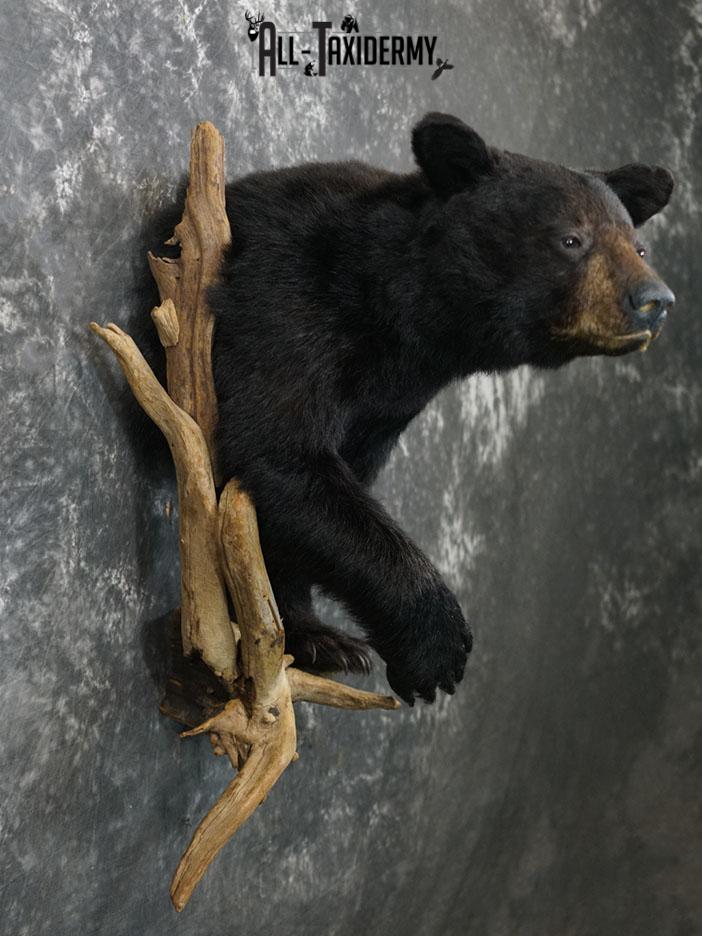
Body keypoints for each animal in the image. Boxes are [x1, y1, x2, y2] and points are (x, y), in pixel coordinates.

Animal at [153, 112, 675, 705]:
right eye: (571, 239)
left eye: (638, 247)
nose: (655, 301)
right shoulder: (283, 303)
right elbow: (281, 454)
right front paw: (433, 649)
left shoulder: (388, 404)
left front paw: (315, 636)